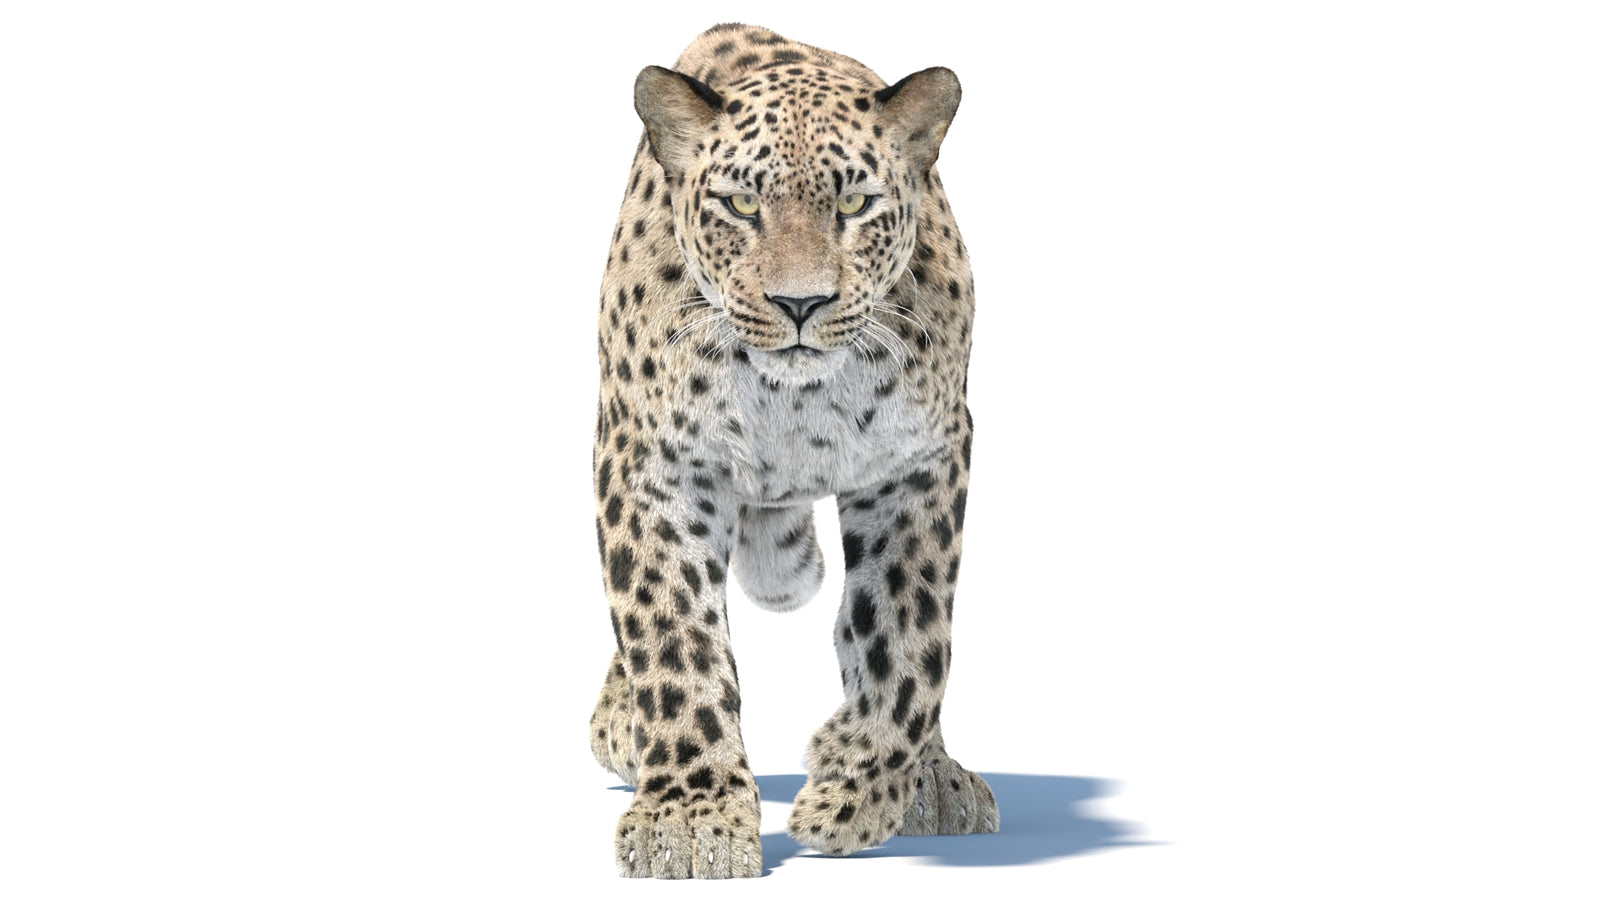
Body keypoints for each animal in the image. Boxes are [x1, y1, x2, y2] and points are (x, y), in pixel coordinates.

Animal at [587, 23, 997, 878]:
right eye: (741, 204)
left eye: (855, 203)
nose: (800, 303)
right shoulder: (653, 465)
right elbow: (671, 636)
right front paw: (689, 819)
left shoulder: (921, 465)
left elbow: (910, 640)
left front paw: (852, 786)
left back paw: (934, 778)